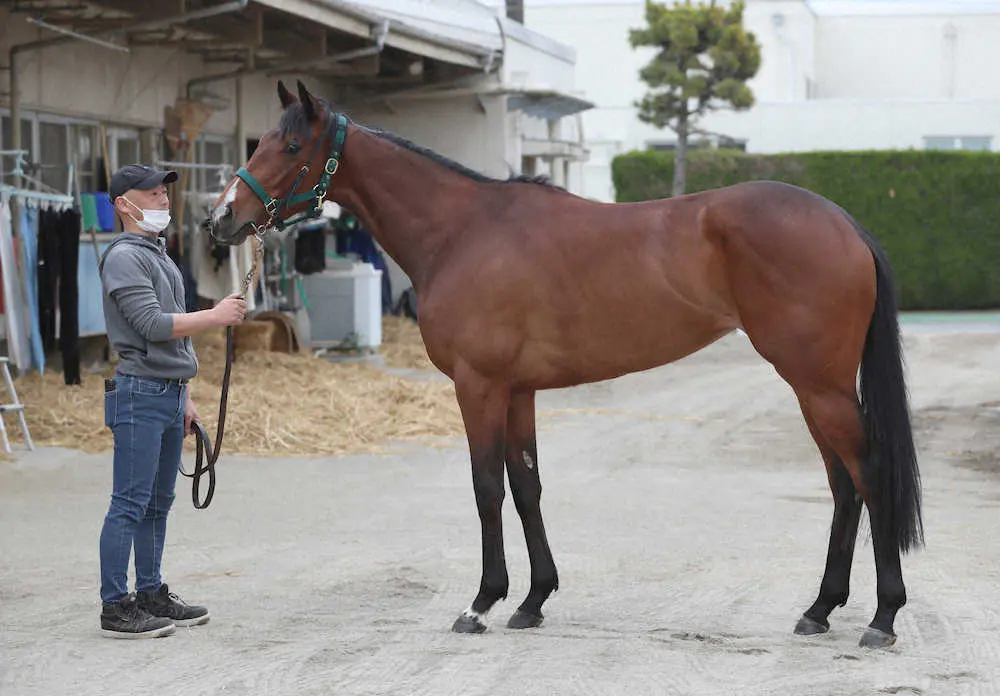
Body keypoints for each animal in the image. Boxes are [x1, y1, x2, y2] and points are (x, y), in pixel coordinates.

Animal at [207, 81, 924, 652]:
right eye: (261, 142)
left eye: (289, 147)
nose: (221, 220)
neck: (462, 232)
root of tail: (845, 223)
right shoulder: (518, 390)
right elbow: (526, 487)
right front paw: (532, 601)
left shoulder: (480, 386)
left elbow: (486, 488)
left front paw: (481, 603)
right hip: (811, 387)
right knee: (843, 485)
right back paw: (819, 609)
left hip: (819, 385)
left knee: (869, 475)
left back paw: (882, 617)